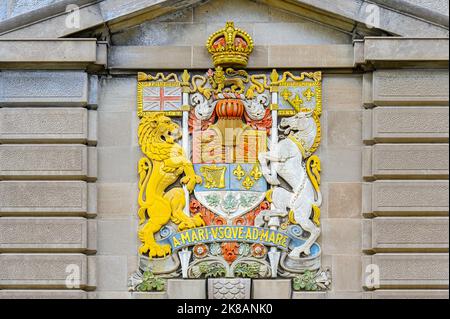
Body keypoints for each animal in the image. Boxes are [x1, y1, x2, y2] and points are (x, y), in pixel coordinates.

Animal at [137, 112, 204, 258]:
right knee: (147, 230)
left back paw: (190, 222)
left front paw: (190, 178)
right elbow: (185, 162)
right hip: (162, 212)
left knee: (176, 210)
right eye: (167, 121)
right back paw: (157, 249)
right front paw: (191, 179)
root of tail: (148, 202)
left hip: (173, 194)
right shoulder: (169, 162)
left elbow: (185, 163)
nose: (177, 127)